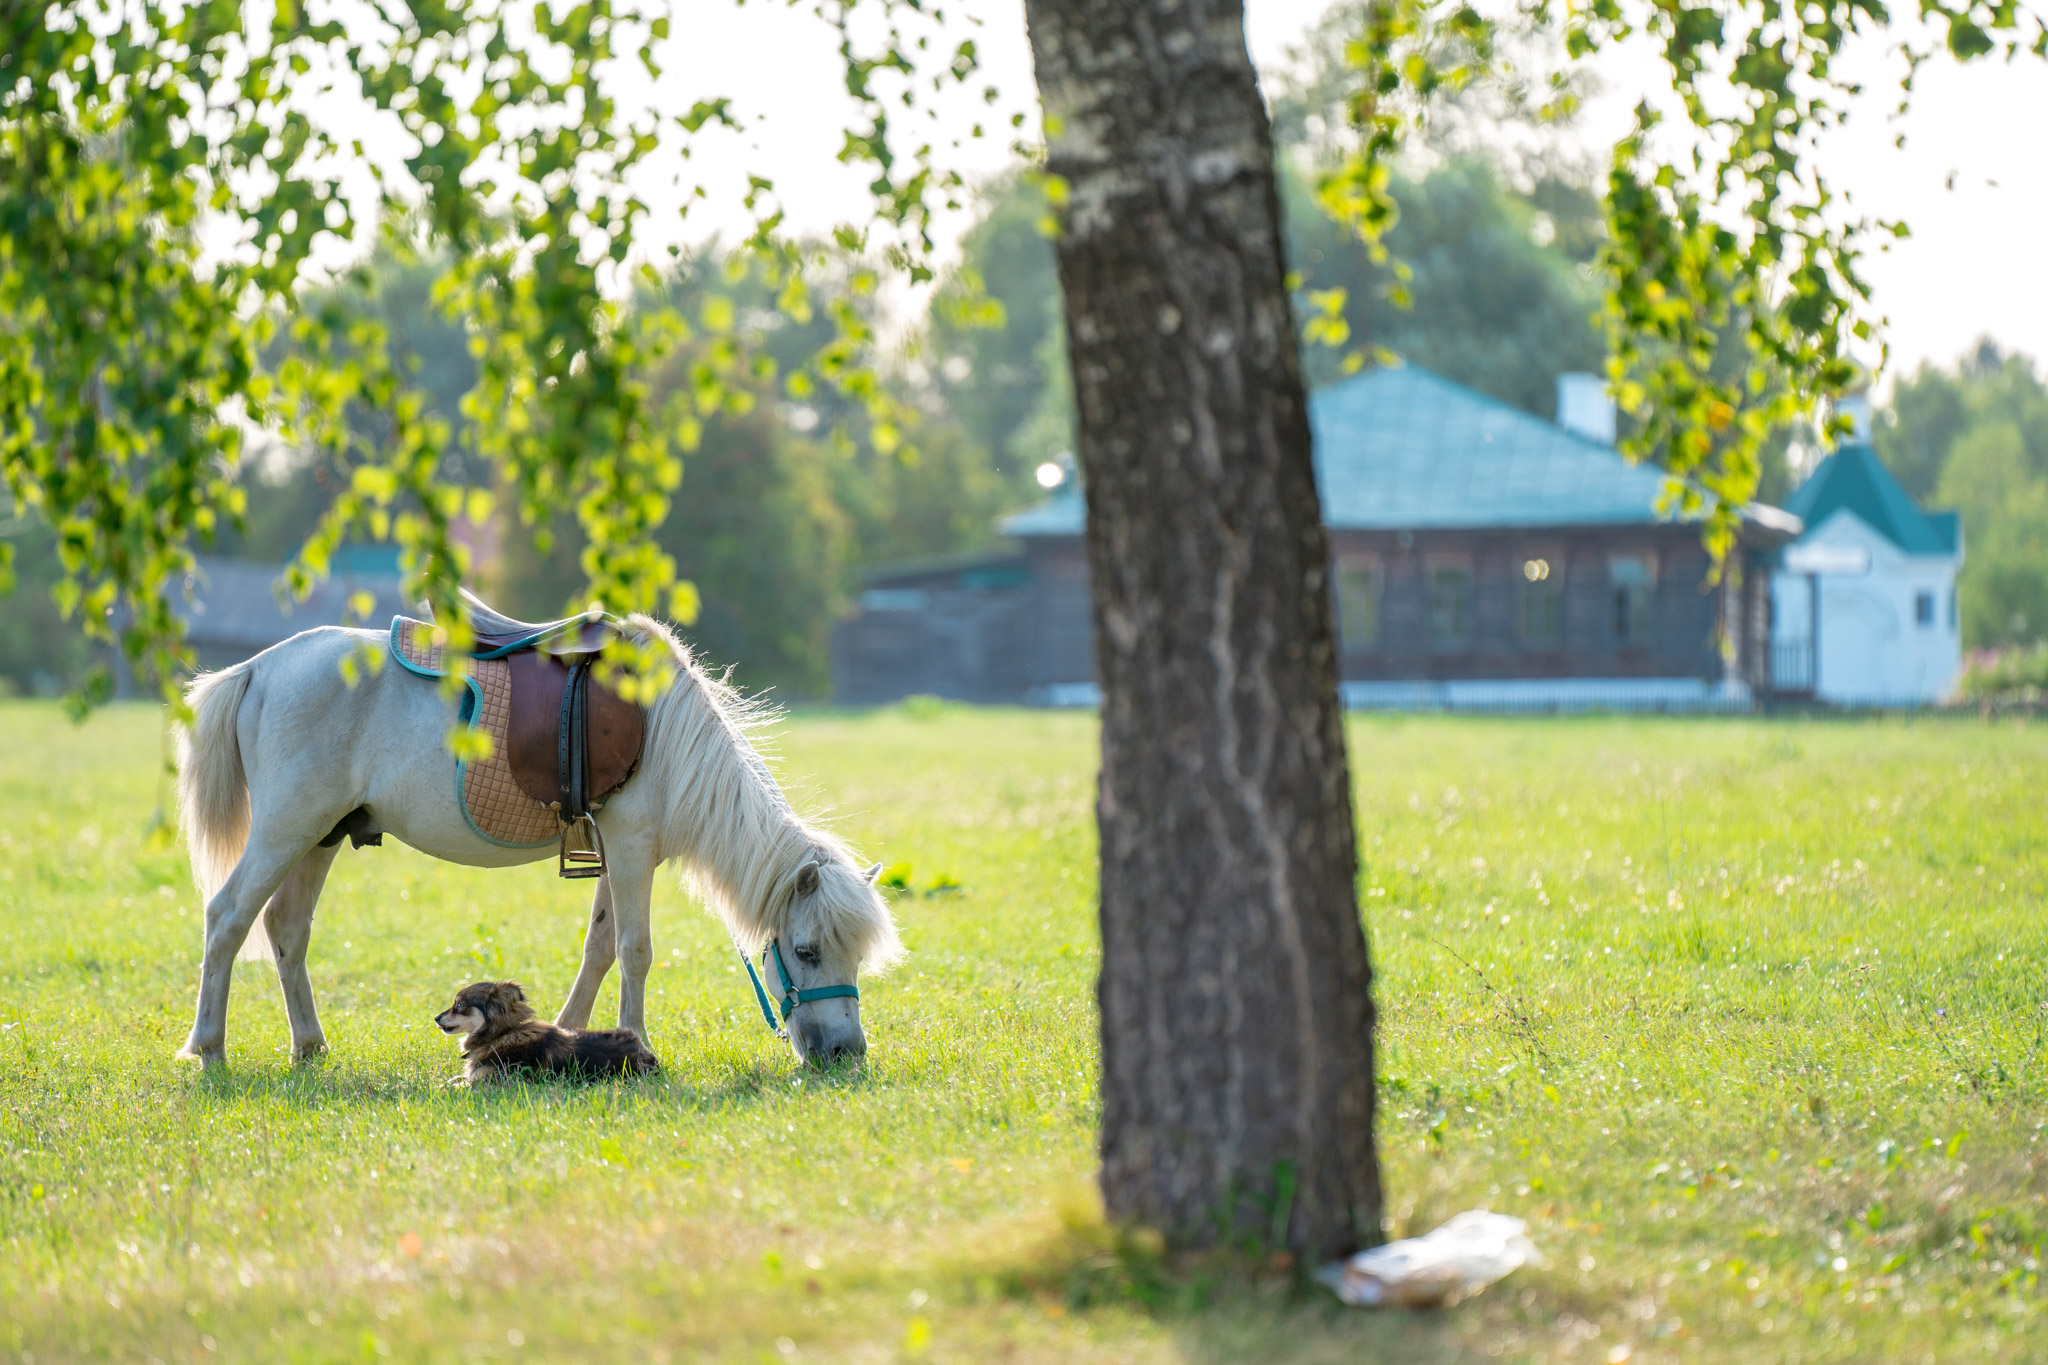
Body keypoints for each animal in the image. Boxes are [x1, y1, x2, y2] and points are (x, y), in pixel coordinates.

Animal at [172, 614, 902, 1070]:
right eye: (805, 951)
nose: (847, 1055)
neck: (666, 733)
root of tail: (261, 667)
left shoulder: (615, 852)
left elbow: (599, 948)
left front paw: (574, 1033)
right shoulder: (631, 848)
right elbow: (635, 951)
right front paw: (638, 1042)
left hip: (320, 835)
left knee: (286, 930)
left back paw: (310, 1045)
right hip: (284, 828)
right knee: (227, 918)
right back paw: (209, 1046)